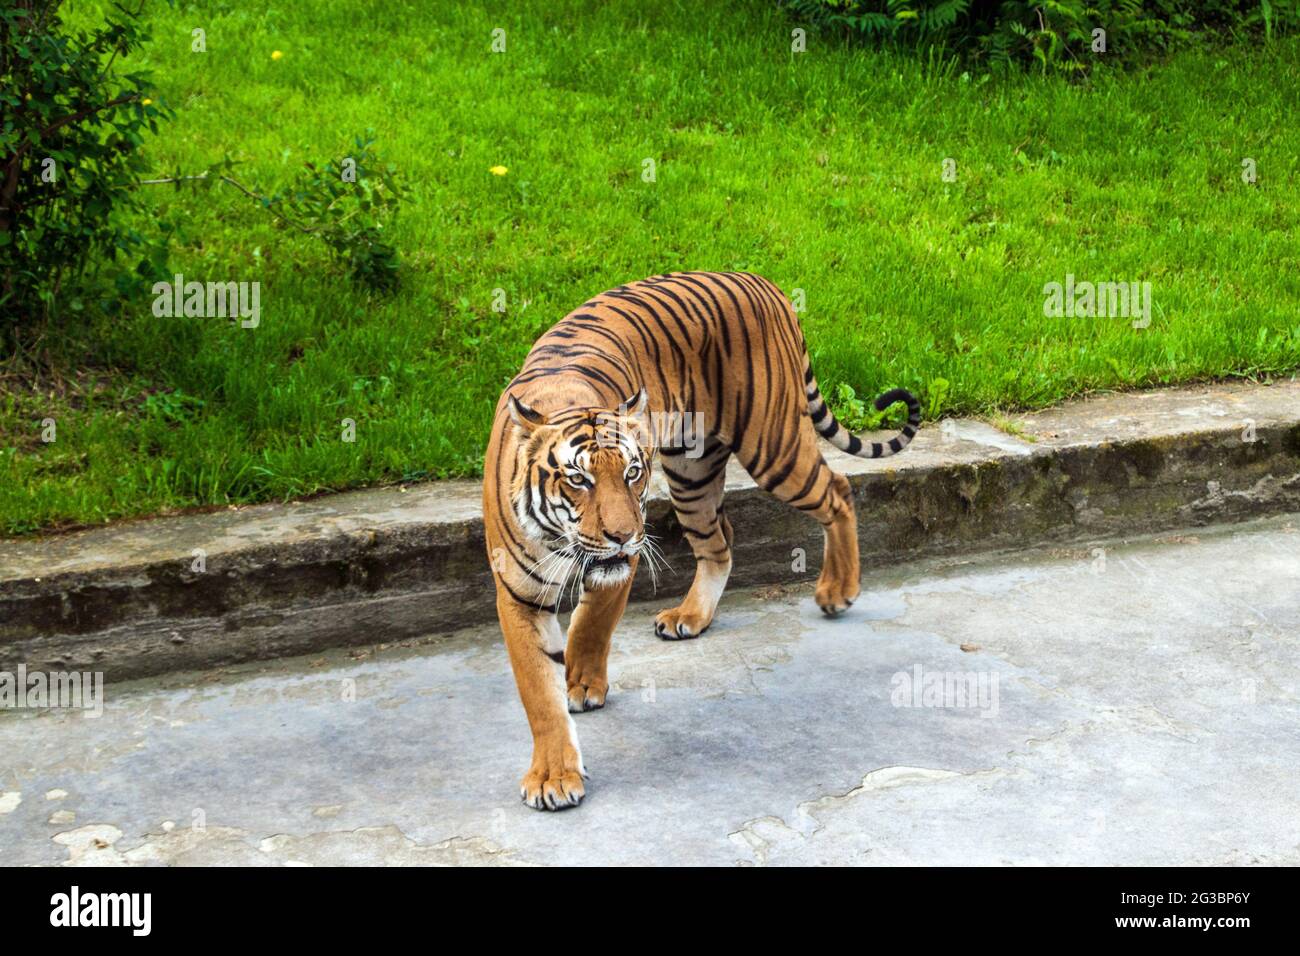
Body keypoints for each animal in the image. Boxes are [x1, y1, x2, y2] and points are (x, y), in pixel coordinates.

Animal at [483, 273, 920, 811]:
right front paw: (553, 775)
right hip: (691, 473)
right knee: (720, 543)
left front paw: (582, 684)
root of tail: (764, 283)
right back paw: (692, 616)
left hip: (772, 446)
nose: (624, 535)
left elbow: (591, 624)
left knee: (836, 490)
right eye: (578, 480)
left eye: (632, 473)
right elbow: (537, 692)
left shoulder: (623, 561)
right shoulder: (518, 591)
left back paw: (837, 591)